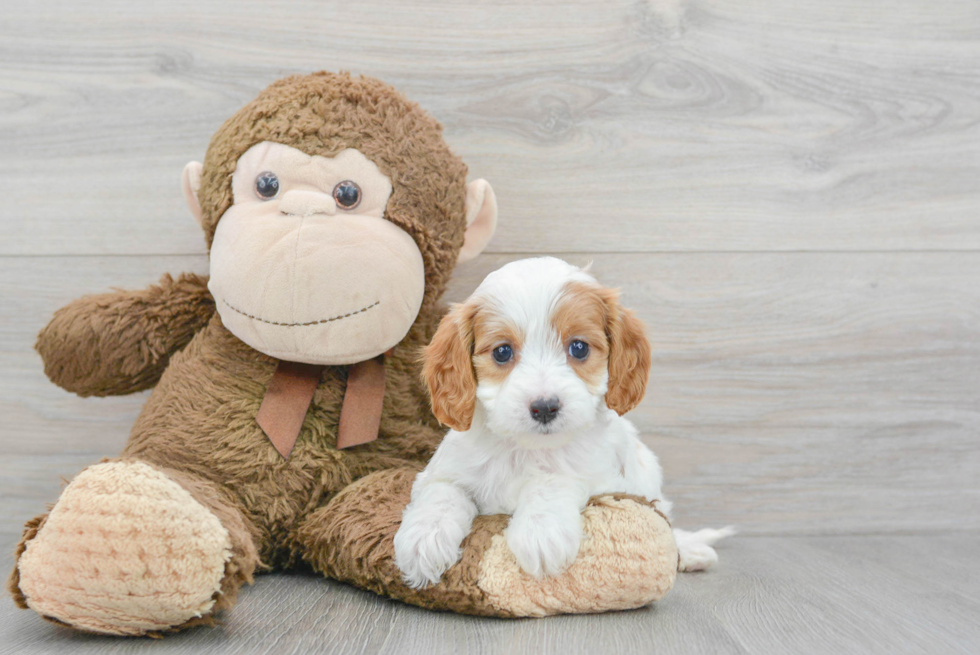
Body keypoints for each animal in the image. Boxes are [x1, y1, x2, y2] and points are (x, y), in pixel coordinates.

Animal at [394, 258, 732, 588]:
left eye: (579, 348)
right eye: (502, 352)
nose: (545, 407)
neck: (526, 449)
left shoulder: (598, 474)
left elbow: (553, 480)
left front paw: (541, 532)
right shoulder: (445, 470)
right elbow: (442, 493)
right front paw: (423, 540)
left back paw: (690, 551)